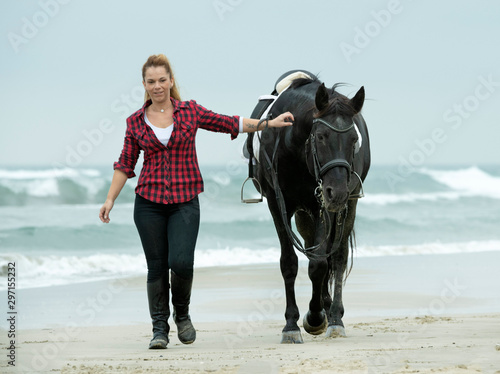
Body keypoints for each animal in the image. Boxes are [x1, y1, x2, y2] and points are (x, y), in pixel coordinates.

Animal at [244, 71, 370, 344]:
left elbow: (320, 264)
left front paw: (315, 317)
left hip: (347, 204)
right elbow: (290, 262)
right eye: (321, 136)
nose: (338, 191)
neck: (293, 147)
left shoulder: (321, 203)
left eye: (354, 139)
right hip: (307, 213)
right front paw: (291, 325)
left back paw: (334, 316)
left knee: (338, 257)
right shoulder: (278, 203)